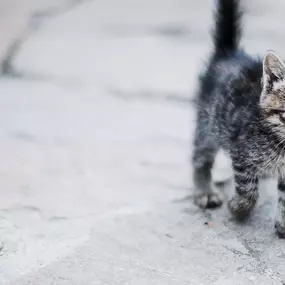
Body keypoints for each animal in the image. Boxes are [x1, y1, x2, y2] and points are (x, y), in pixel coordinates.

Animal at [192, 0, 285, 235]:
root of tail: (228, 53)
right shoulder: (241, 151)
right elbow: (248, 191)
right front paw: (237, 208)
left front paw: (283, 224)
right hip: (208, 123)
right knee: (200, 157)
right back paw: (205, 191)